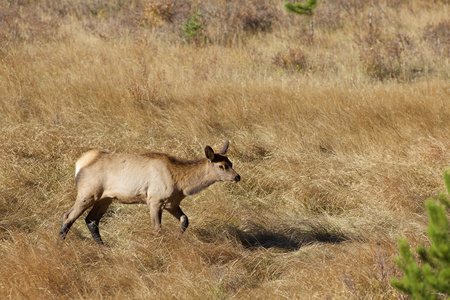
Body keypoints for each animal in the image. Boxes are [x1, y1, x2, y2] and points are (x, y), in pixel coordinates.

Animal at [60, 142, 243, 245]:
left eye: (231, 162)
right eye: (221, 166)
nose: (237, 177)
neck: (182, 184)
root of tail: (79, 164)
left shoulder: (171, 203)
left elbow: (185, 220)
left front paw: (178, 239)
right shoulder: (155, 200)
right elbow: (157, 228)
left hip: (105, 199)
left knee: (91, 220)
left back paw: (102, 246)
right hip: (88, 193)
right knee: (68, 216)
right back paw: (59, 245)